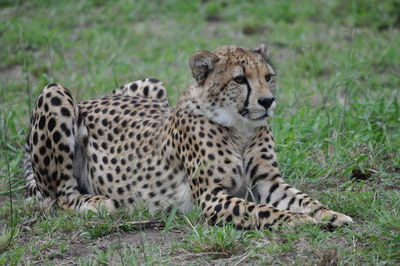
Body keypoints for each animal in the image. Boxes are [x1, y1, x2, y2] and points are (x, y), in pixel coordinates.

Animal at [24, 44, 354, 230]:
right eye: (239, 79)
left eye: (268, 77)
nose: (267, 101)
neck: (239, 128)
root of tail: (90, 100)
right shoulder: (211, 197)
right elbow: (262, 211)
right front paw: (299, 221)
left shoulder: (267, 182)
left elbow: (304, 198)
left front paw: (330, 214)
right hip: (55, 92)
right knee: (60, 197)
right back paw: (94, 203)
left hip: (152, 83)